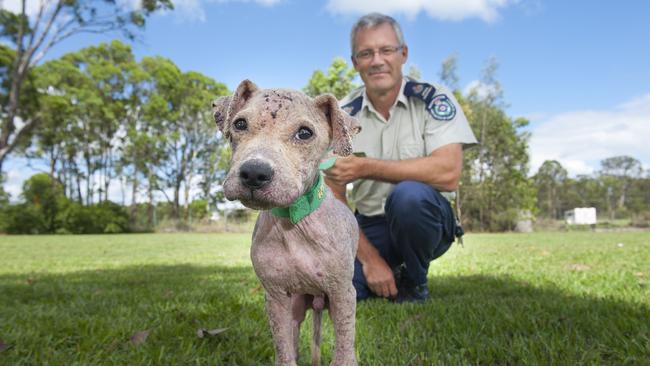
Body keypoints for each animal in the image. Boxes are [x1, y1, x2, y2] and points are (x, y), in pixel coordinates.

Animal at [210, 81, 360, 366]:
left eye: (304, 133)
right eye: (240, 124)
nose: (254, 173)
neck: (294, 224)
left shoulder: (343, 294)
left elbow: (345, 349)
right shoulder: (276, 298)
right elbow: (284, 349)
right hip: (297, 307)